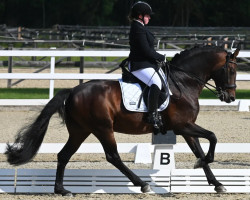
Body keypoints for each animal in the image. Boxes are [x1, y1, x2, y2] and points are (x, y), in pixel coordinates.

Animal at [5, 45, 239, 195]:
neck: (183, 81)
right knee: (113, 156)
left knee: (63, 155)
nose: (230, 97)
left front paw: (216, 183)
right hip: (103, 128)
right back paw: (142, 184)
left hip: (80, 130)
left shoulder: (186, 128)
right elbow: (213, 137)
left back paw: (62, 190)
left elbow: (200, 148)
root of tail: (72, 91)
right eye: (231, 69)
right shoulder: (183, 126)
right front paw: (204, 165)